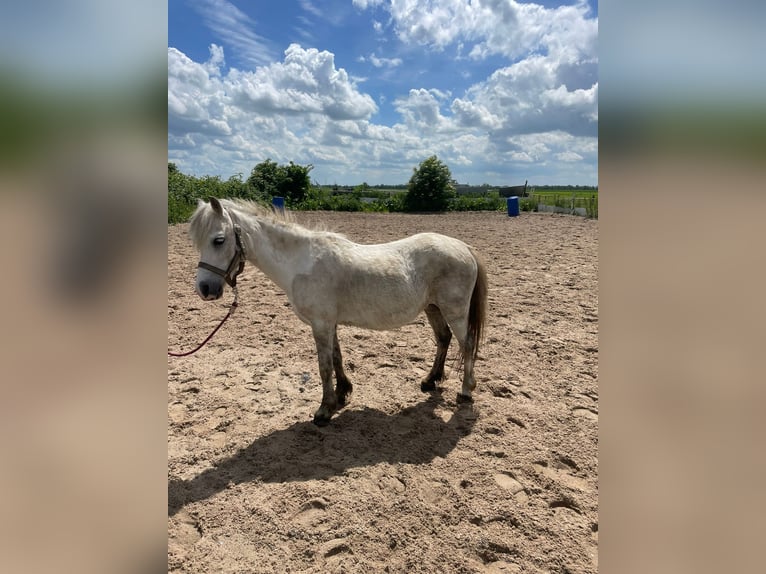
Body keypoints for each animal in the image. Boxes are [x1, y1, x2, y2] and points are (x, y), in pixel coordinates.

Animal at [194, 199, 492, 428]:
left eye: (219, 240)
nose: (205, 289)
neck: (301, 262)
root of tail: (464, 247)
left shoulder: (321, 324)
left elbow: (324, 366)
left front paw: (324, 411)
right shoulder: (329, 324)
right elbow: (337, 358)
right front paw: (342, 393)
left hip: (454, 311)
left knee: (466, 345)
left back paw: (466, 391)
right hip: (433, 308)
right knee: (443, 339)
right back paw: (430, 381)